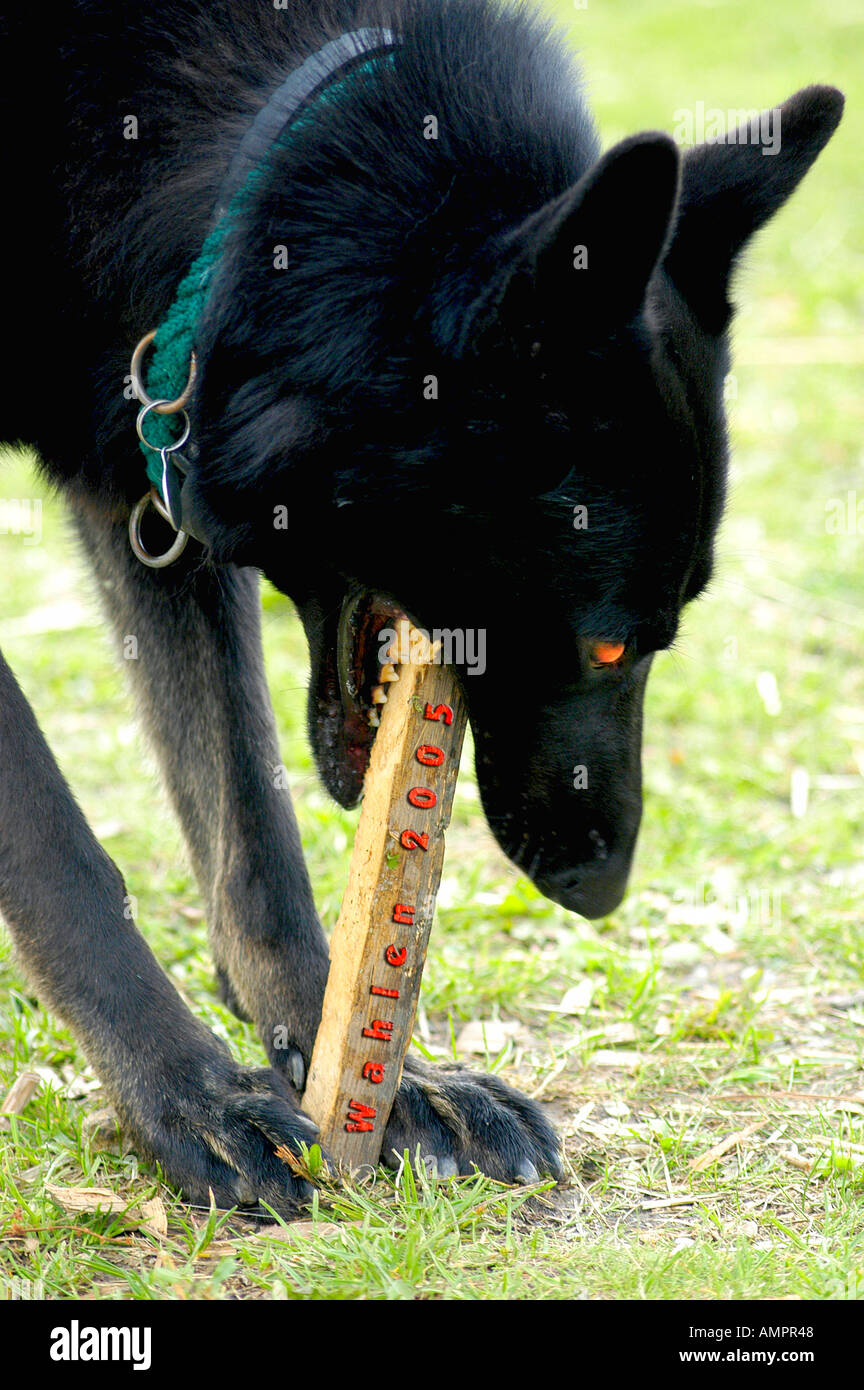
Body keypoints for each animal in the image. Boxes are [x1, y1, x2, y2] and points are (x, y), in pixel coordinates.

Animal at [0, 0, 844, 1212]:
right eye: (608, 644)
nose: (605, 890)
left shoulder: (148, 456)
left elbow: (250, 822)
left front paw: (375, 1071)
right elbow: (64, 855)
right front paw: (187, 1095)